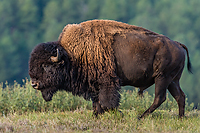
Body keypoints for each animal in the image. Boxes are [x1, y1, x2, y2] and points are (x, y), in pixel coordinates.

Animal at [28, 19, 191, 118]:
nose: (34, 84)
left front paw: (118, 113)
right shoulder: (94, 85)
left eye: (46, 65)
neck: (72, 55)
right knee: (180, 96)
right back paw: (180, 118)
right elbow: (97, 102)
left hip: (162, 77)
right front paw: (96, 115)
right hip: (172, 80)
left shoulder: (107, 82)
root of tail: (177, 44)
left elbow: (107, 102)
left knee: (160, 97)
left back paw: (141, 117)